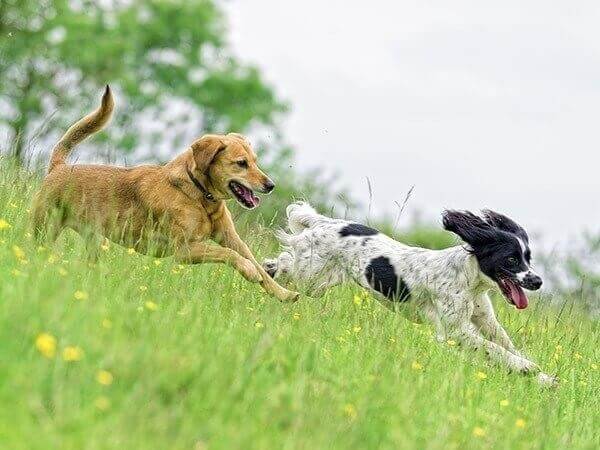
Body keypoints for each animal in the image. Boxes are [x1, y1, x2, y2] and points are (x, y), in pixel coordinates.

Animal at [31, 85, 298, 302]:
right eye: (241, 163)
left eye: (255, 161)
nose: (270, 185)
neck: (200, 195)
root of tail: (59, 167)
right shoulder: (184, 250)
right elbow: (229, 255)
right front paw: (249, 271)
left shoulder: (231, 237)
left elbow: (255, 263)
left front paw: (284, 293)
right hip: (45, 228)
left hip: (94, 240)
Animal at [264, 202, 556, 384]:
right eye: (511, 259)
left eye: (528, 258)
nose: (538, 281)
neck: (470, 281)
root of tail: (322, 222)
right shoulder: (455, 330)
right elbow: (494, 349)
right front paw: (527, 368)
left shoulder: (484, 320)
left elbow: (504, 344)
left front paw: (545, 379)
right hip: (310, 275)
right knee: (286, 262)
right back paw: (269, 269)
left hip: (318, 284)